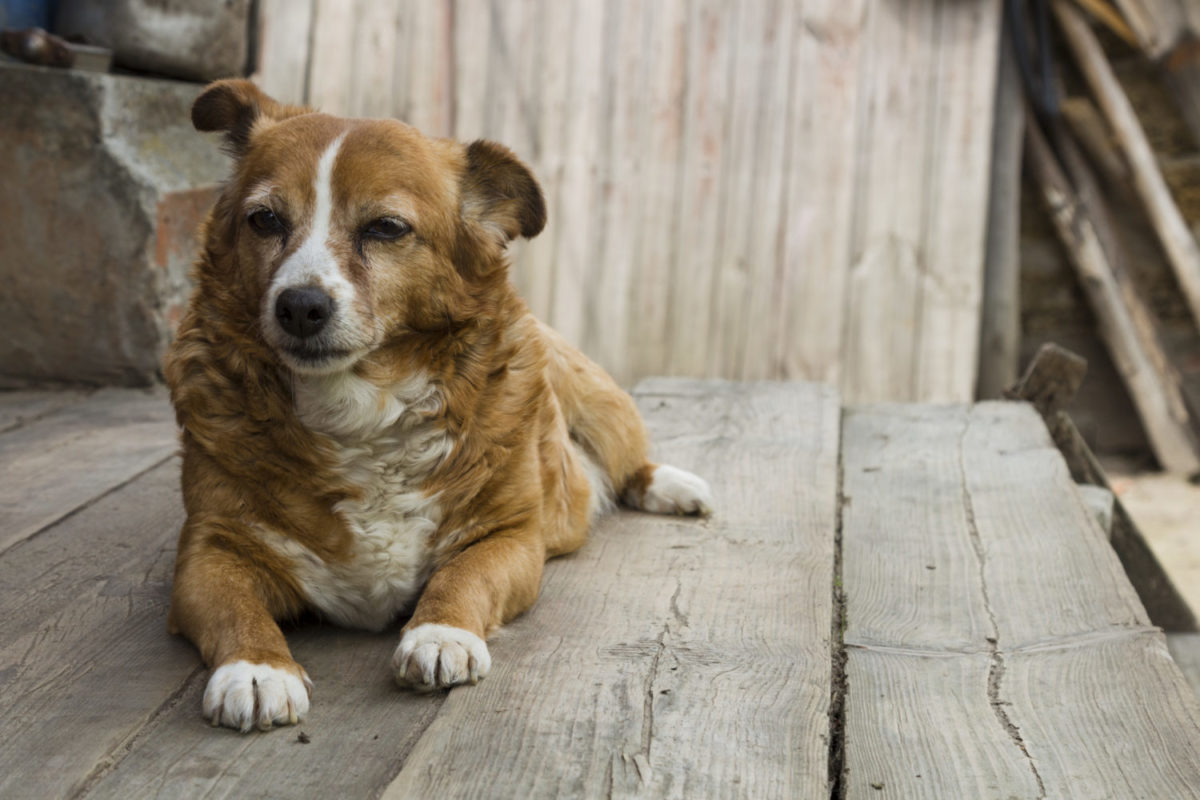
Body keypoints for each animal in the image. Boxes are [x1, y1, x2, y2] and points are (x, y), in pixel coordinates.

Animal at [165, 79, 715, 734]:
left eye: (386, 227)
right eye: (264, 219)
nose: (299, 306)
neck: (361, 407)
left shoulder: (510, 538)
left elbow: (463, 575)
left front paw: (440, 633)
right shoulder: (208, 549)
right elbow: (234, 607)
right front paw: (255, 668)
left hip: (602, 404)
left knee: (632, 462)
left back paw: (674, 488)